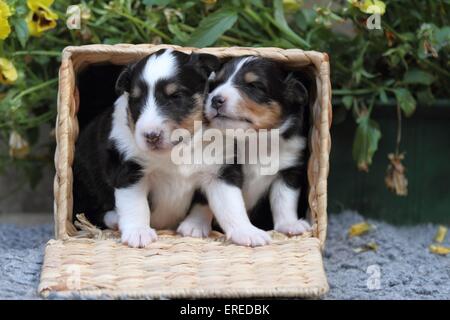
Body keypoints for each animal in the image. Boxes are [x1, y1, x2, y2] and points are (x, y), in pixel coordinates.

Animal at [73, 49, 270, 248]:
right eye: (136, 99)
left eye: (175, 96)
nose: (151, 136)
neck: (178, 149)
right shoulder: (128, 170)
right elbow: (135, 205)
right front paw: (138, 233)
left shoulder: (219, 172)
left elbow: (231, 205)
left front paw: (247, 232)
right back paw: (115, 219)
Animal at [201, 55, 312, 235]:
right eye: (216, 83)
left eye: (254, 86)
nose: (215, 100)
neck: (253, 140)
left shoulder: (289, 170)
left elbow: (284, 200)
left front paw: (290, 225)